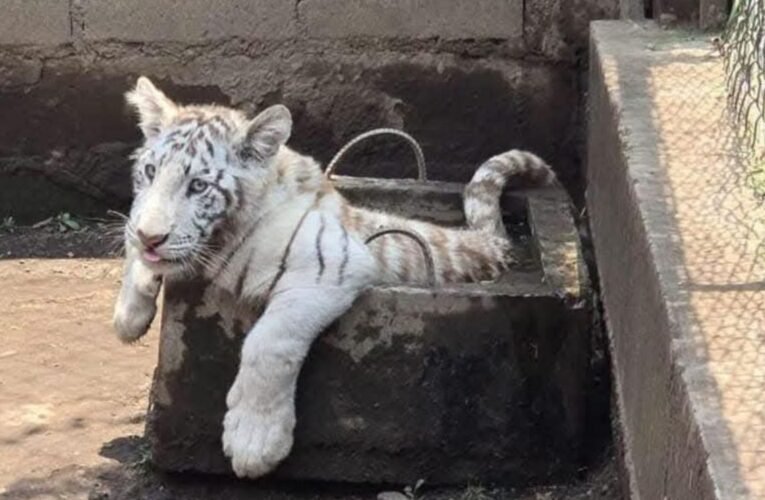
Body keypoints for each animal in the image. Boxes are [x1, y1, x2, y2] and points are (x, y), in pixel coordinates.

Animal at [112, 77, 557, 479]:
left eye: (199, 186)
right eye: (149, 172)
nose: (151, 237)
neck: (223, 237)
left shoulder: (332, 264)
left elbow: (268, 342)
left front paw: (255, 441)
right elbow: (135, 237)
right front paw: (129, 315)